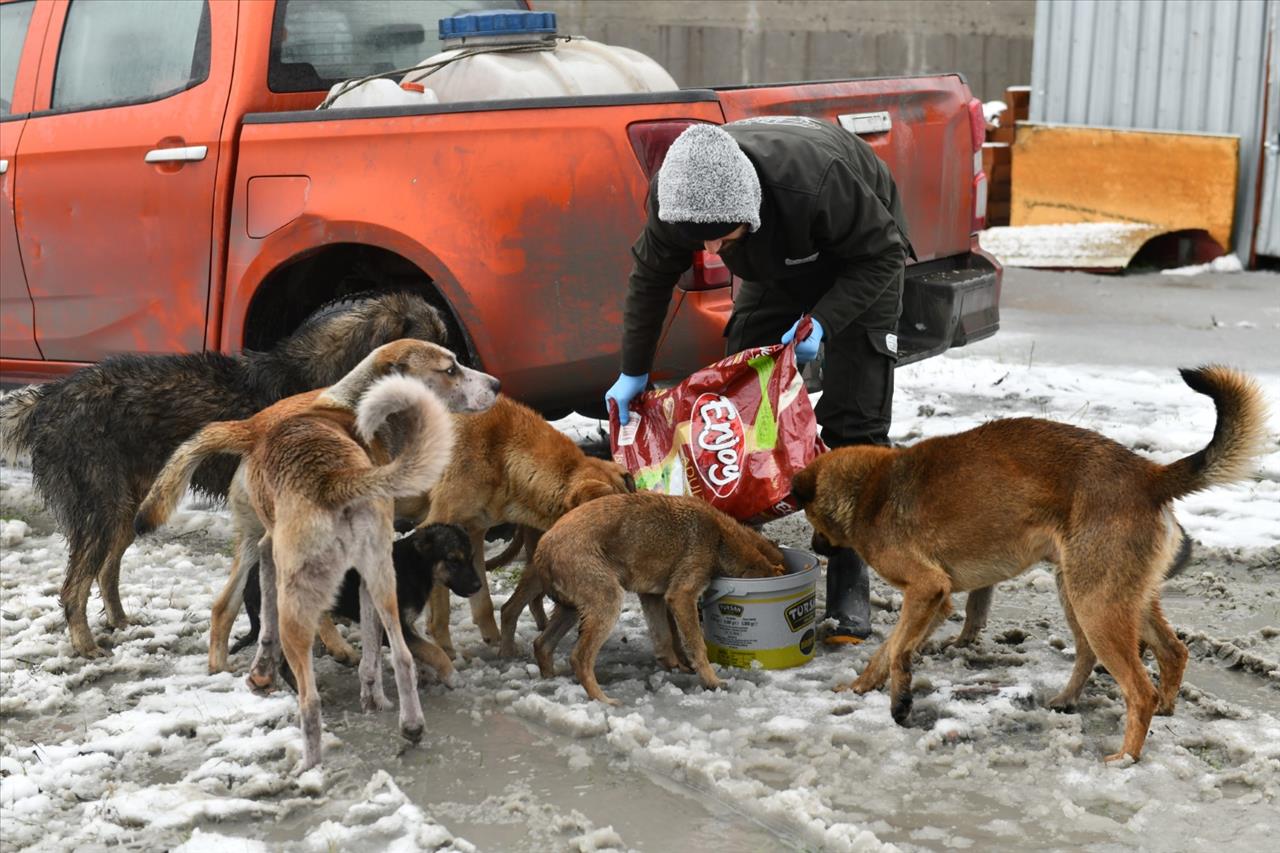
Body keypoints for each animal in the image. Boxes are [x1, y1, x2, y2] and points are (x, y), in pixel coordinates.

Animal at [394, 394, 634, 653]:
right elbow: (440, 613)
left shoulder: (473, 532)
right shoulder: (438, 528)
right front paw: (447, 651)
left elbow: (483, 601)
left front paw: (496, 642)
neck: (500, 451)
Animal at [496, 489, 778, 701]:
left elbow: (666, 638)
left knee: (542, 644)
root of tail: (543, 549)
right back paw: (603, 700)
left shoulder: (655, 597)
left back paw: (552, 681)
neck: (720, 537)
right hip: (607, 602)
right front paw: (711, 680)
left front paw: (677, 665)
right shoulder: (681, 595)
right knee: (579, 657)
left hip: (572, 610)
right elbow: (697, 645)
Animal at [793, 361, 1264, 758]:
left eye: (810, 516)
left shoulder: (926, 589)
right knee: (1169, 651)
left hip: (1095, 603)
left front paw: (900, 699)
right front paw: (861, 687)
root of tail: (1149, 475)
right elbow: (888, 648)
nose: (816, 548)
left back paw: (1126, 757)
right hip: (1106, 594)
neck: (868, 489)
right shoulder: (933, 600)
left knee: (1136, 687)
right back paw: (1135, 705)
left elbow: (897, 649)